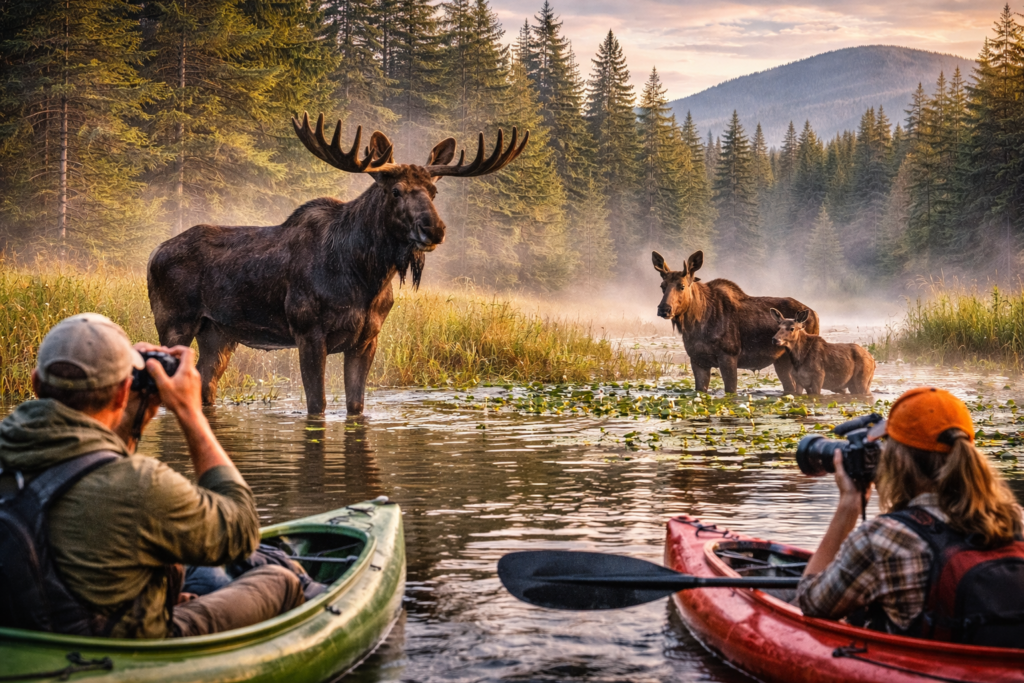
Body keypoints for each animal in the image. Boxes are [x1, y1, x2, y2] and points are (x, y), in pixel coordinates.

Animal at [148, 113, 528, 415]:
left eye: (434, 192)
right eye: (395, 191)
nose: (433, 229)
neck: (366, 278)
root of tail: (152, 254)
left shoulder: (368, 337)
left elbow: (355, 405)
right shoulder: (308, 332)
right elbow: (317, 405)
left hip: (220, 332)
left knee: (206, 384)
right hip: (174, 322)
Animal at [653, 250, 819, 394]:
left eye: (682, 286)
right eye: (662, 286)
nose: (664, 309)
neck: (696, 325)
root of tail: (815, 314)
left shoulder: (729, 355)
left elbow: (731, 390)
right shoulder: (697, 359)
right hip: (781, 361)